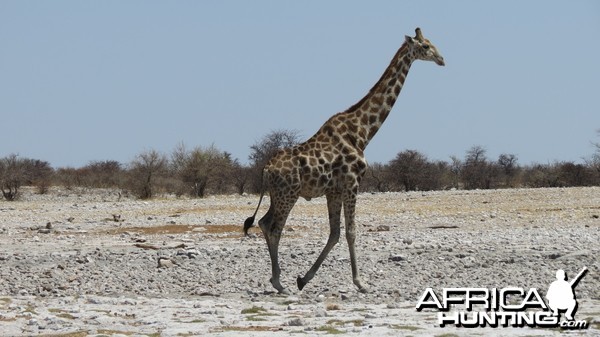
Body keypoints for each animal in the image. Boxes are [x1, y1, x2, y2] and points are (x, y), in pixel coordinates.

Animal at [244, 27, 446, 292]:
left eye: (432, 43)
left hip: (277, 195)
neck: (362, 131)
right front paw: (360, 283)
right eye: (425, 46)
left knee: (264, 223)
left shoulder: (334, 190)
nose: (442, 59)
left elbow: (335, 233)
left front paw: (303, 279)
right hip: (289, 194)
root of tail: (267, 169)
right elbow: (351, 232)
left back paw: (280, 280)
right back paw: (279, 282)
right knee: (274, 227)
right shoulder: (352, 183)